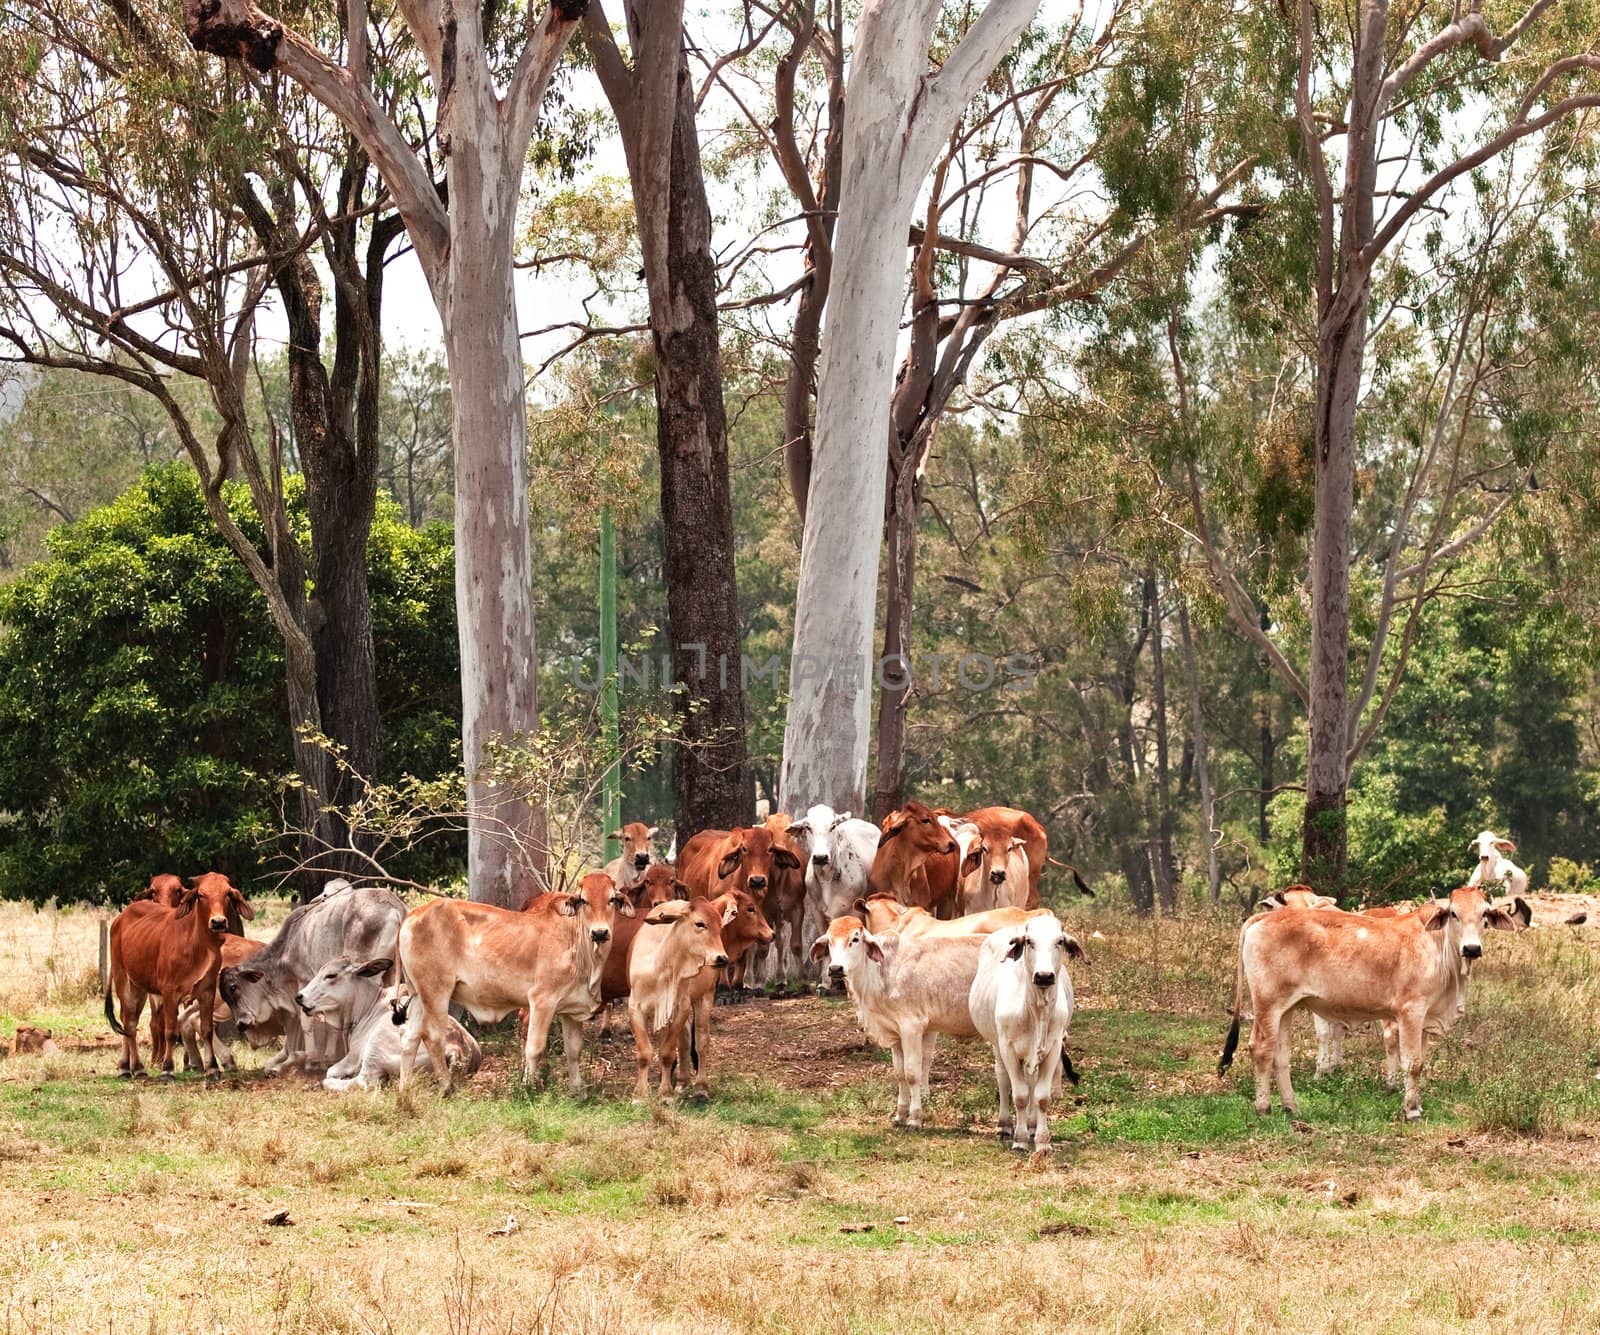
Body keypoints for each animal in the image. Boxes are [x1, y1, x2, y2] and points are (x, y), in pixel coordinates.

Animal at [104, 870, 252, 1075]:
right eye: (201, 895)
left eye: (227, 894)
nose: (218, 922)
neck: (198, 945)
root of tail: (121, 917)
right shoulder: (168, 992)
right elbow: (170, 1030)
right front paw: (167, 1068)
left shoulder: (206, 991)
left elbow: (205, 1029)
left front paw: (209, 1067)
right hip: (123, 981)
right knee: (130, 1022)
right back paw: (134, 1068)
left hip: (139, 987)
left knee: (129, 1021)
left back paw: (129, 1065)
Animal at [393, 864, 630, 1094]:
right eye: (583, 900)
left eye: (611, 899)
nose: (599, 933)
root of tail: (413, 914)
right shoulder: (541, 1000)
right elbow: (534, 1048)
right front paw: (528, 1087)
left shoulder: (570, 1010)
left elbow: (573, 1051)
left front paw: (578, 1092)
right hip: (436, 993)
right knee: (432, 1036)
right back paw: (446, 1086)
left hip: (418, 995)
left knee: (410, 1039)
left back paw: (405, 1089)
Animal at [812, 915, 985, 1126]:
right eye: (829, 941)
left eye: (855, 939)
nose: (835, 968)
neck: (880, 973)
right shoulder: (895, 1033)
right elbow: (900, 1074)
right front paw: (900, 1115)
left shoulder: (912, 1027)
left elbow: (912, 1073)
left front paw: (915, 1118)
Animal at [960, 915, 1088, 1146]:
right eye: (1029, 941)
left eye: (1060, 941)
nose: (1044, 976)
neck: (1036, 1011)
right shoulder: (1008, 1047)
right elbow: (1019, 1095)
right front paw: (1019, 1140)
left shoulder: (1053, 1048)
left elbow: (1041, 1096)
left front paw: (1041, 1140)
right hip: (997, 1044)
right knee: (1003, 1078)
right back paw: (1004, 1125)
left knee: (1032, 1083)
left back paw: (1031, 1124)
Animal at [1216, 883, 1529, 1114]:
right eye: (1453, 913)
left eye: (1485, 915)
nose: (1472, 948)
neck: (1438, 947)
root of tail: (1262, 917)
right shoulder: (1410, 1011)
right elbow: (1413, 1062)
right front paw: (1410, 1110)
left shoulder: (1425, 1018)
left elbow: (1421, 1062)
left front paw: (1417, 1105)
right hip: (1267, 1004)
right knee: (1260, 1049)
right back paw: (1264, 1108)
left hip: (1287, 1007)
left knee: (1280, 1054)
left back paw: (1292, 1108)